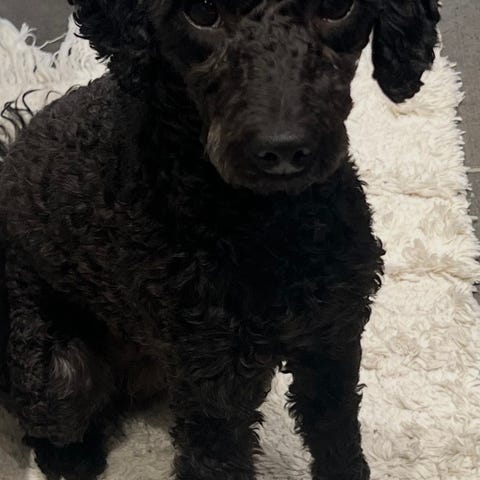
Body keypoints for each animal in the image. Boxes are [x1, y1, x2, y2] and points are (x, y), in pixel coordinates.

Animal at [0, 1, 439, 479]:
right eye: (202, 13)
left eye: (338, 10)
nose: (284, 149)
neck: (271, 227)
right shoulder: (213, 384)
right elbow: (217, 459)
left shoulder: (333, 341)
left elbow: (337, 439)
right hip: (54, 371)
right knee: (45, 418)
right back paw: (73, 457)